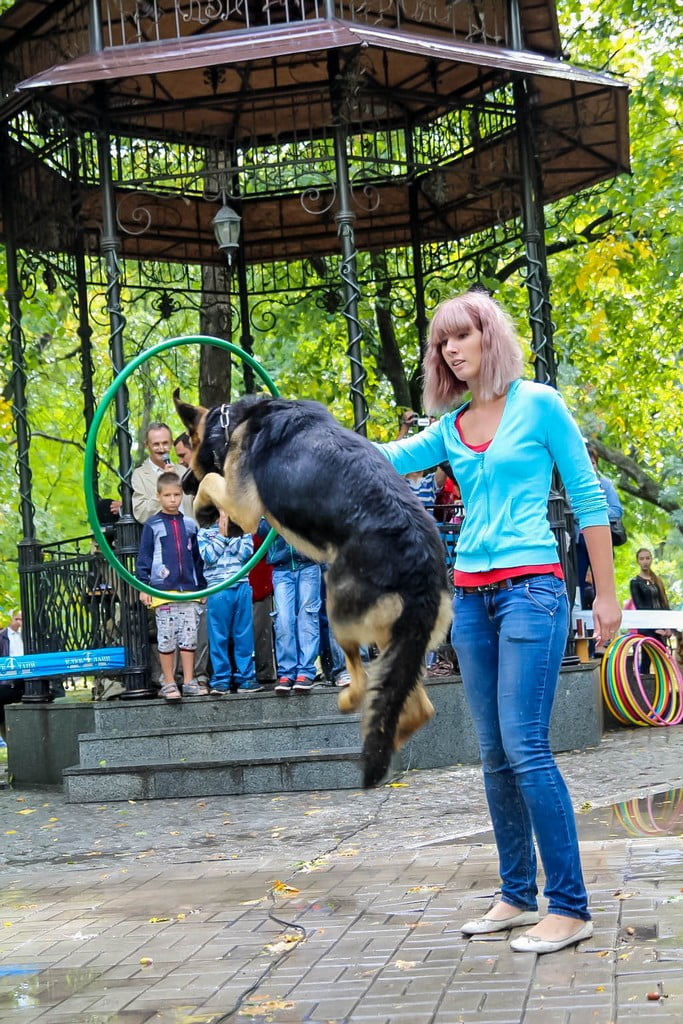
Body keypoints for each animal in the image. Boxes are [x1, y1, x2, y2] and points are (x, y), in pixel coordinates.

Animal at [175, 389, 454, 782]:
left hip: (337, 607)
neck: (232, 423)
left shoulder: (243, 503)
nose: (182, 482)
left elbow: (213, 485)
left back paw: (352, 703)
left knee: (362, 677)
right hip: (400, 642)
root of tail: (422, 565)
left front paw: (204, 509)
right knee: (417, 708)